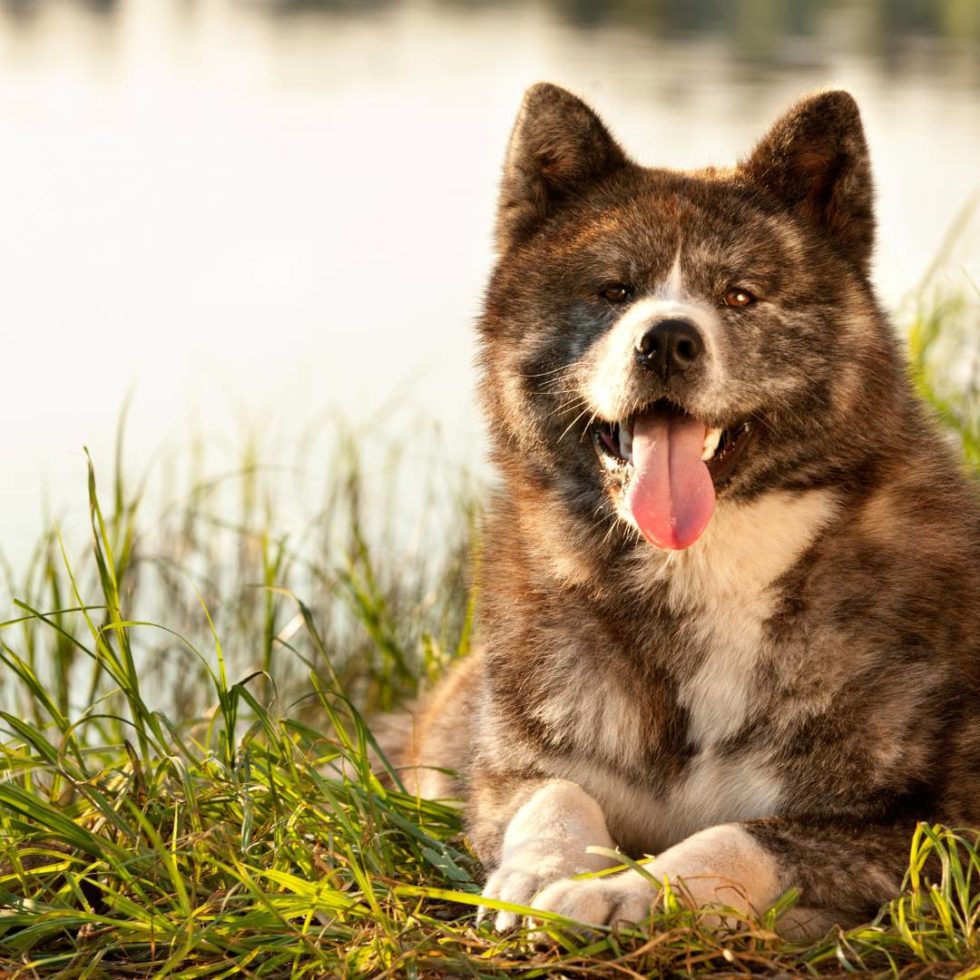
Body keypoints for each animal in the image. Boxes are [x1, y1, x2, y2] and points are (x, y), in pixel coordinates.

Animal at [394, 86, 976, 940]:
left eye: (738, 295)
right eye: (614, 291)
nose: (666, 340)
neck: (699, 566)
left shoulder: (932, 829)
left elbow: (741, 836)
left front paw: (633, 891)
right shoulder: (506, 773)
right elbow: (555, 792)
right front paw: (542, 871)